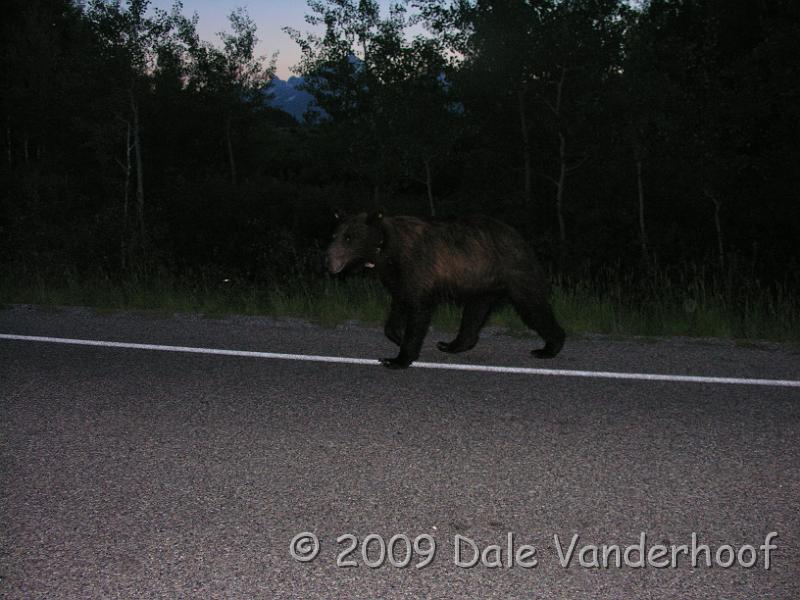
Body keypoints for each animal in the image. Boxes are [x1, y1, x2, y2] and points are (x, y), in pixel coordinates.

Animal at [325, 211, 565, 369]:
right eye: (335, 236)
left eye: (349, 237)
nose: (328, 260)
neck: (385, 251)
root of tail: (521, 239)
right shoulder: (397, 276)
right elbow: (399, 302)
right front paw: (397, 336)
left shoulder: (416, 265)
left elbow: (418, 308)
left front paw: (397, 358)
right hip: (482, 282)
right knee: (474, 313)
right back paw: (452, 344)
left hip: (513, 270)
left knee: (533, 306)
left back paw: (549, 347)